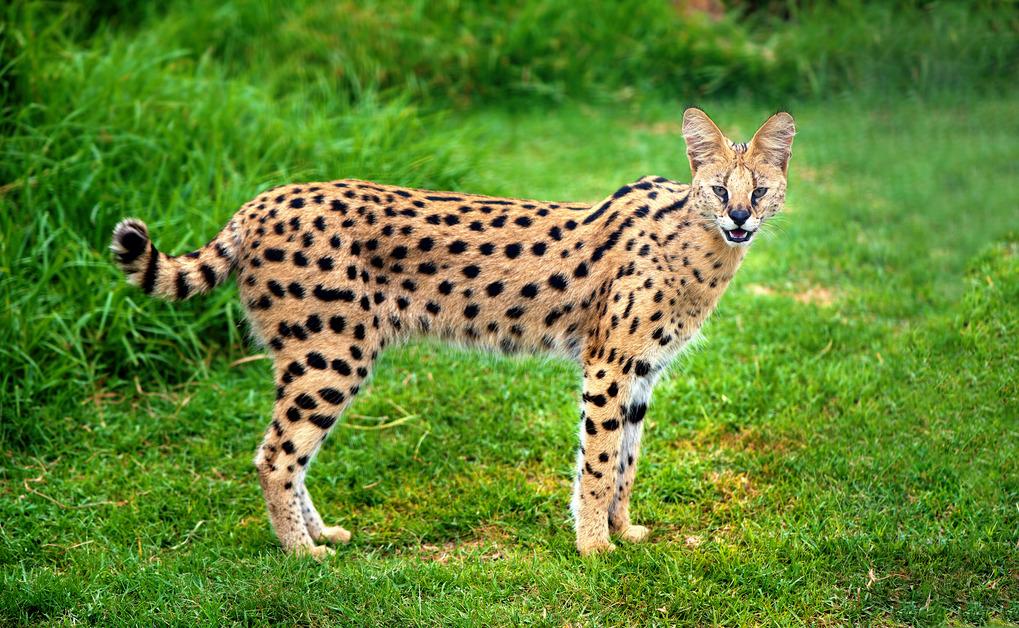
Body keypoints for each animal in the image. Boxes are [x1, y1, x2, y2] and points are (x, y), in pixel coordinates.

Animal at [111, 109, 794, 558]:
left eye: (760, 190)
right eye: (718, 189)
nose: (740, 217)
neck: (701, 247)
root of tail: (259, 201)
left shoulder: (642, 373)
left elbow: (626, 460)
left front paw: (623, 531)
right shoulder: (609, 365)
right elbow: (598, 463)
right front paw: (595, 547)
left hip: (320, 357)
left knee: (288, 452)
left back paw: (320, 533)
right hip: (331, 355)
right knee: (275, 455)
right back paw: (303, 553)